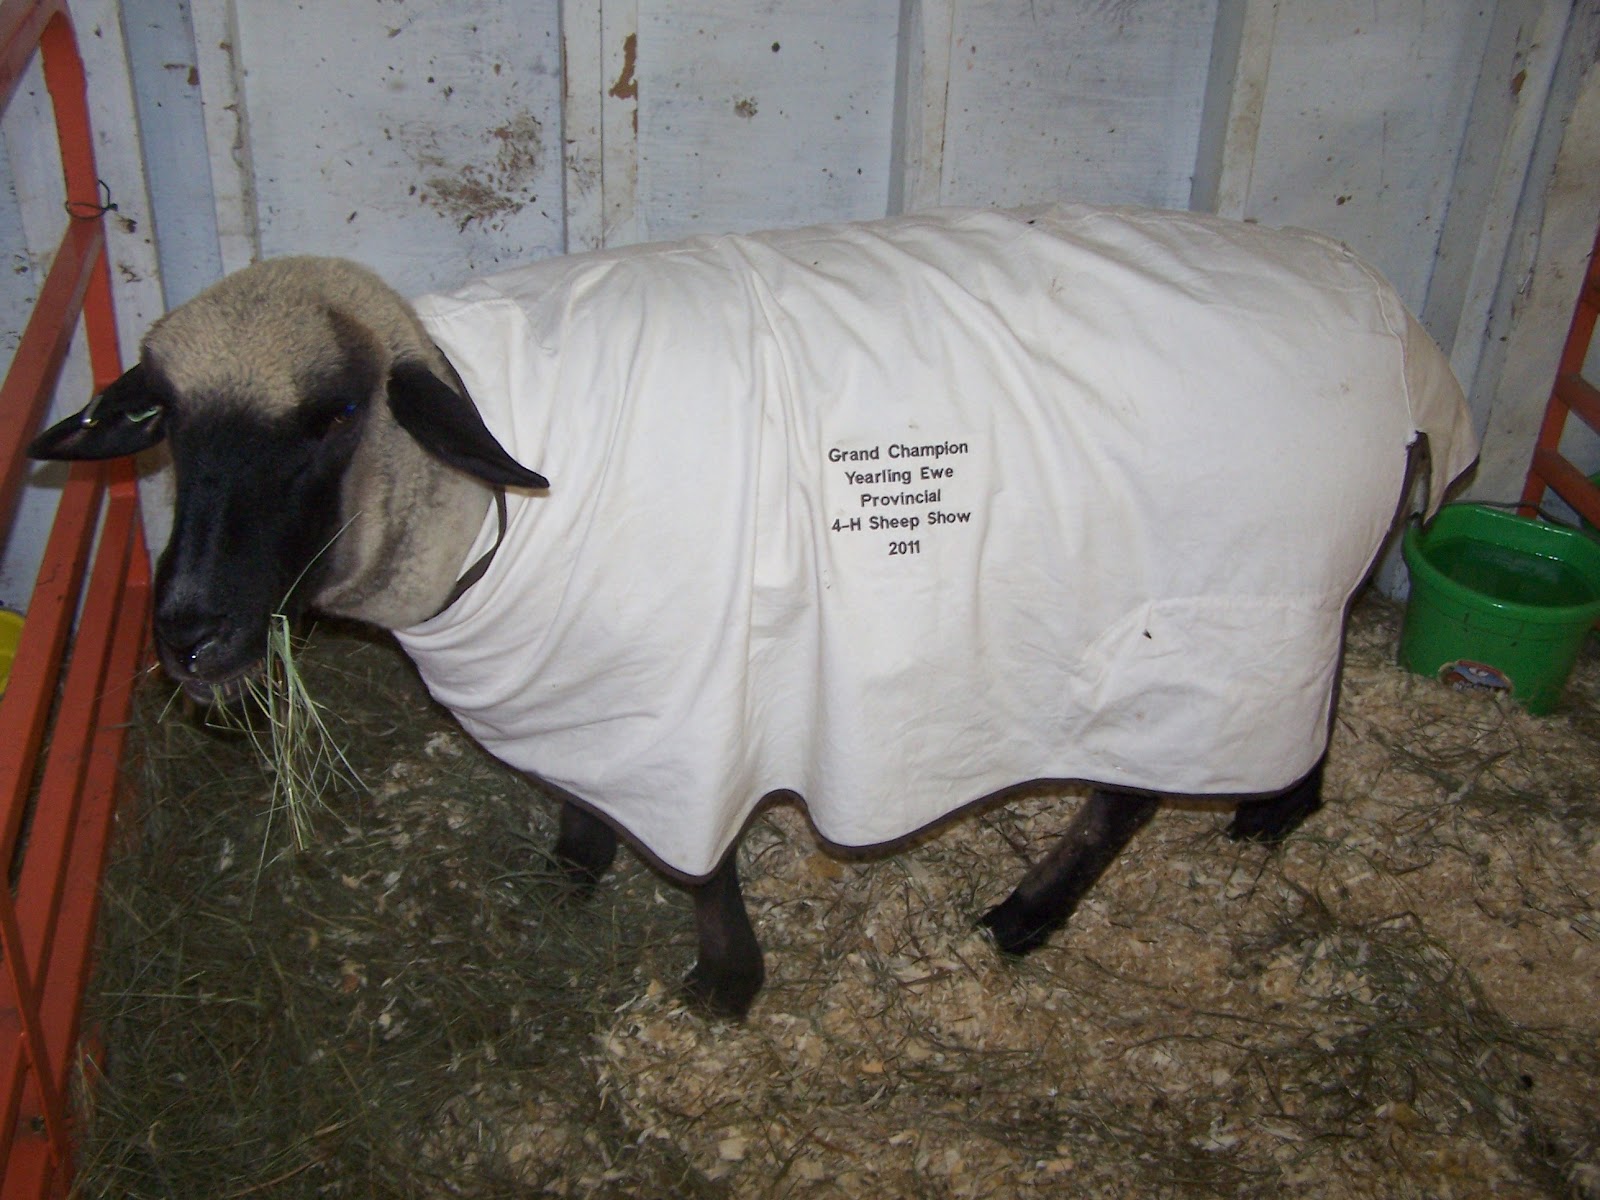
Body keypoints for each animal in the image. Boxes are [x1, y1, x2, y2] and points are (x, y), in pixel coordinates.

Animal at [31, 203, 1478, 1018]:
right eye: (165, 422)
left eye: (330, 417)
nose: (188, 633)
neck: (499, 491)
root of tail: (1394, 318)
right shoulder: (600, 691)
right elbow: (586, 803)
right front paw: (572, 864)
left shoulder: (691, 697)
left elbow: (704, 862)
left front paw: (726, 988)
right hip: (1291, 594)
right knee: (1320, 682)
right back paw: (1284, 802)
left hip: (1199, 617)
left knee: (1134, 781)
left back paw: (1035, 910)